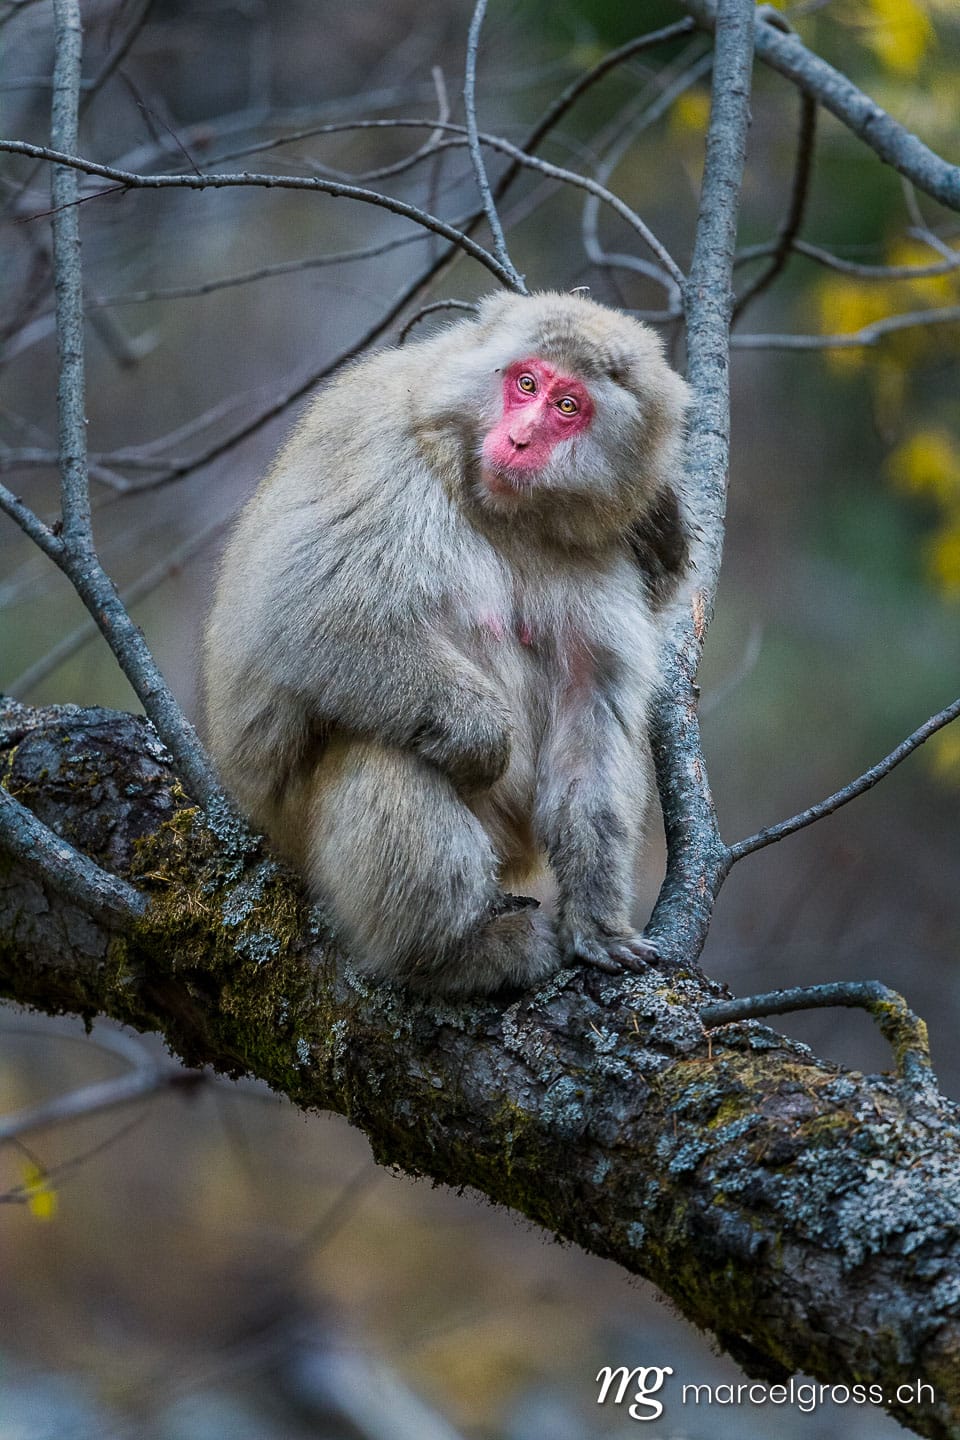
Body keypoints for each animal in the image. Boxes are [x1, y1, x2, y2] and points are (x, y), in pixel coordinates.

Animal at [203, 290, 690, 996]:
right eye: (526, 383)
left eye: (568, 407)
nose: (518, 439)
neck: (504, 510)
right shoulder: (379, 448)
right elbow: (305, 613)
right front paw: (481, 733)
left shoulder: (615, 540)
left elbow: (591, 711)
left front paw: (595, 922)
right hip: (298, 830)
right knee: (383, 745)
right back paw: (446, 955)